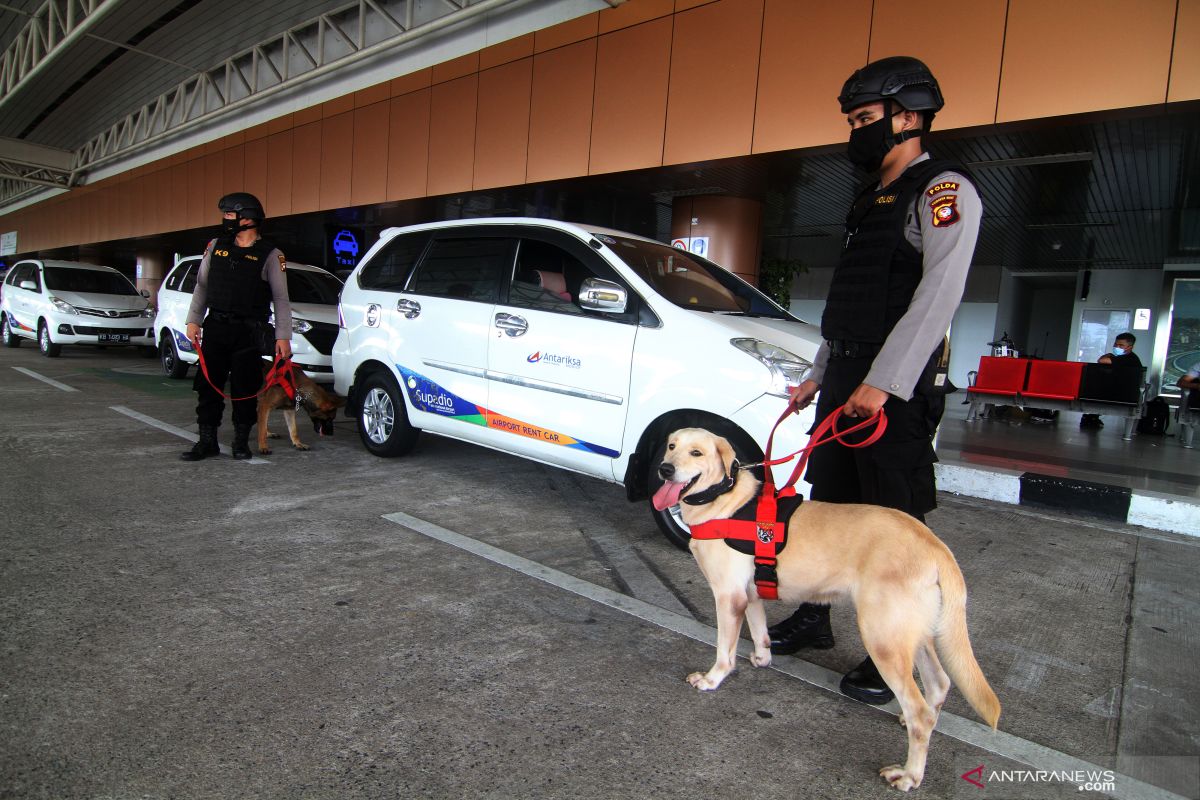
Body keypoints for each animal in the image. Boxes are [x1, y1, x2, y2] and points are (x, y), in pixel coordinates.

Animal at [652, 429, 998, 791]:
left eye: (696, 453)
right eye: (672, 447)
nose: (664, 469)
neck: (724, 500)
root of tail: (935, 545)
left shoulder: (728, 596)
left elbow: (723, 650)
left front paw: (713, 678)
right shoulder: (749, 594)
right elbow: (760, 631)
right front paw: (762, 658)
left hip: (882, 637)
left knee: (920, 712)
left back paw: (909, 775)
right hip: (912, 634)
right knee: (939, 684)